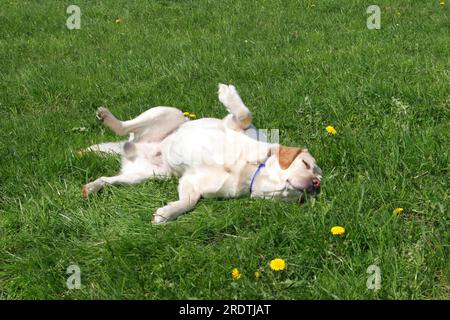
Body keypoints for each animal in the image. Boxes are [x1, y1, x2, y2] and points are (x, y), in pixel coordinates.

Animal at [81, 85, 322, 225]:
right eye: (306, 164)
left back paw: (92, 187)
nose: (316, 184)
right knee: (124, 126)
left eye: (304, 198)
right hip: (170, 113)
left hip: (146, 175)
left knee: (108, 179)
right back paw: (108, 118)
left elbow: (188, 202)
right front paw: (227, 93)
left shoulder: (191, 182)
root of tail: (132, 145)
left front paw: (167, 213)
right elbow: (244, 114)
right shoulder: (234, 125)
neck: (249, 170)